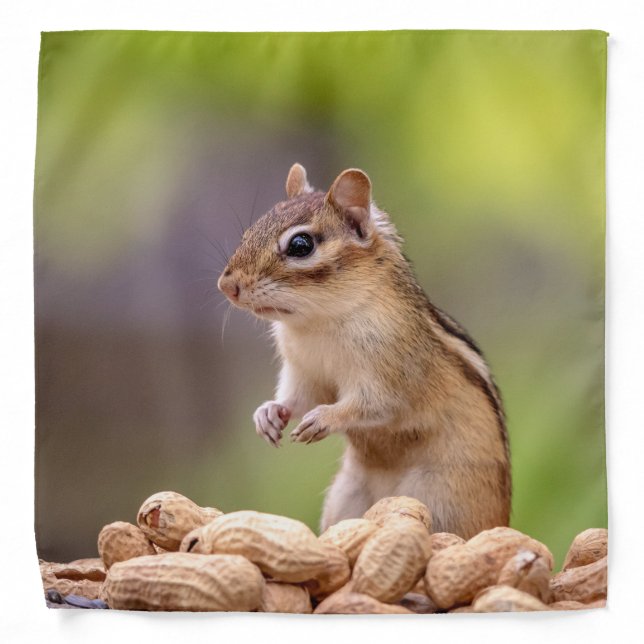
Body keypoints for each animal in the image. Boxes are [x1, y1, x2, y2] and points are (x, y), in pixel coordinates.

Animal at [217, 164, 511, 538]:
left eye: (300, 245)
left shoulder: (392, 371)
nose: (227, 285)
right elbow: (299, 398)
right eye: (249, 232)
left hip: (443, 499)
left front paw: (324, 418)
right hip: (346, 497)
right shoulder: (304, 372)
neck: (318, 322)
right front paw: (268, 413)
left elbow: (374, 404)